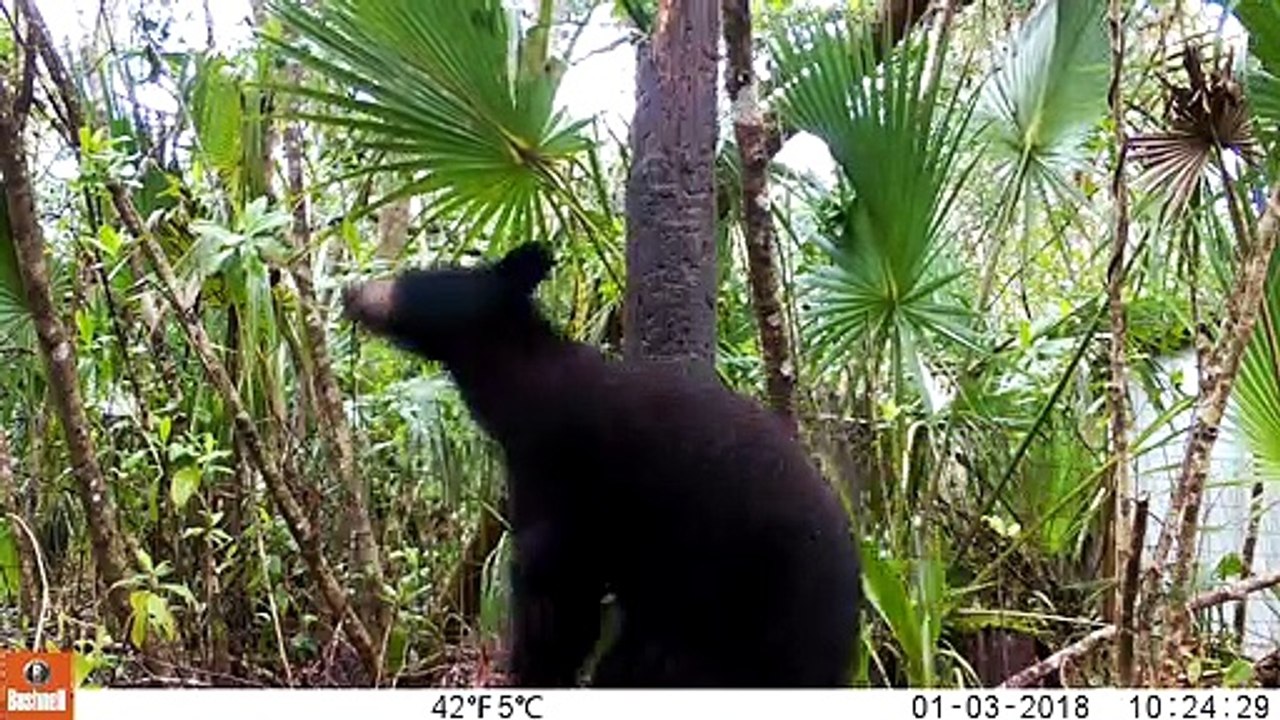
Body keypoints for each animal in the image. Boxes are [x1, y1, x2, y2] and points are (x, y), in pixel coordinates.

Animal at [342, 243, 861, 687]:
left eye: (415, 278)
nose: (350, 292)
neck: (526, 391)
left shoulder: (569, 475)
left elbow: (553, 587)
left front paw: (534, 670)